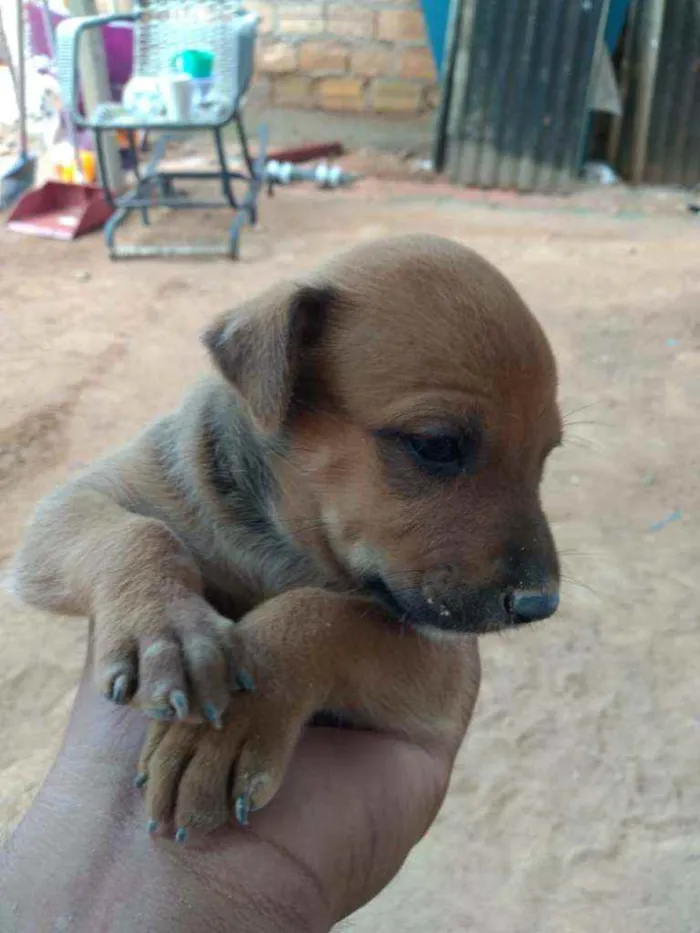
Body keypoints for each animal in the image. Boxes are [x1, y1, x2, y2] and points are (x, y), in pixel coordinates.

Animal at [10, 233, 560, 836]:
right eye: (435, 444)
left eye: (546, 457)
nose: (541, 604)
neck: (275, 540)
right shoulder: (75, 504)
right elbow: (137, 533)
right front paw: (164, 629)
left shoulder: (442, 667)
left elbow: (327, 615)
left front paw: (231, 728)